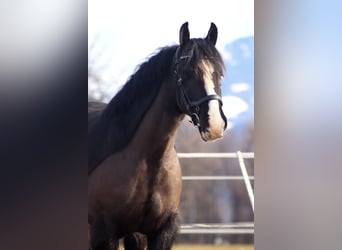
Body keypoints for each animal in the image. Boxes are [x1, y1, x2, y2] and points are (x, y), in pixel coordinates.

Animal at [87, 22, 227, 249]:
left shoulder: (155, 232)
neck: (149, 161)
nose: (214, 125)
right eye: (187, 73)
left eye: (219, 74)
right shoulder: (103, 233)